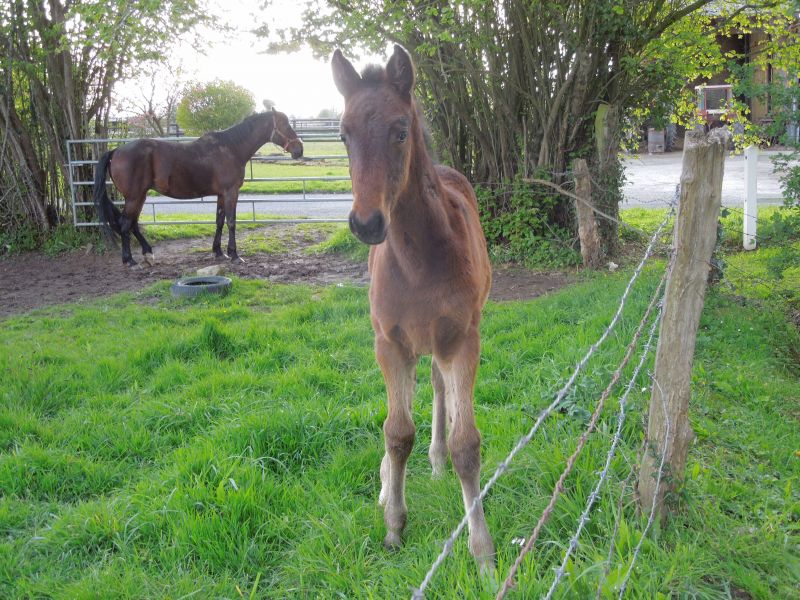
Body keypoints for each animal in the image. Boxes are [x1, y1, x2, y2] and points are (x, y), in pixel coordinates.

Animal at [93, 110, 304, 264]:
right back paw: (129, 260)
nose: (299, 149)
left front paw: (218, 252)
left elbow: (219, 221)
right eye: (285, 125)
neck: (231, 148)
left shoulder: (221, 195)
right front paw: (234, 255)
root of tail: (116, 151)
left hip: (140, 196)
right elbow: (231, 222)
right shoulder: (231, 193)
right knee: (125, 224)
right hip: (135, 197)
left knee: (133, 223)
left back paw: (147, 253)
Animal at [332, 47, 494, 572]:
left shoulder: (462, 339)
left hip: (444, 340)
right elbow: (396, 432)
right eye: (343, 134)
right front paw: (394, 527)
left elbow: (467, 443)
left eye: (400, 130)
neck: (419, 259)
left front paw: (483, 553)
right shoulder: (390, 343)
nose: (366, 223)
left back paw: (438, 458)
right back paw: (387, 484)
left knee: (442, 390)